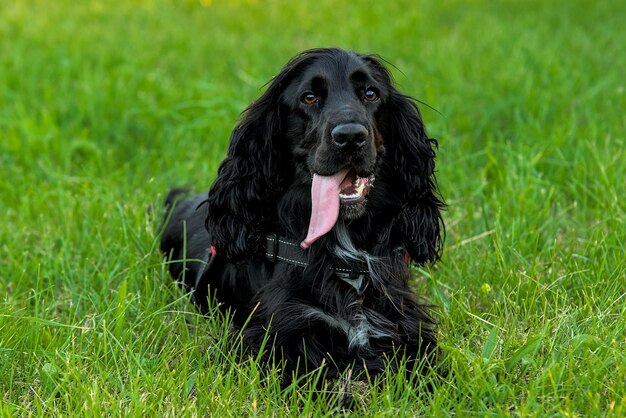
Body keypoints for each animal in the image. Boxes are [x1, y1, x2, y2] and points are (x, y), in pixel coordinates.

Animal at [161, 48, 444, 386]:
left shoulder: (400, 320)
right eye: (309, 97)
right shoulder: (278, 333)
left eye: (371, 94)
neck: (340, 253)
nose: (350, 136)